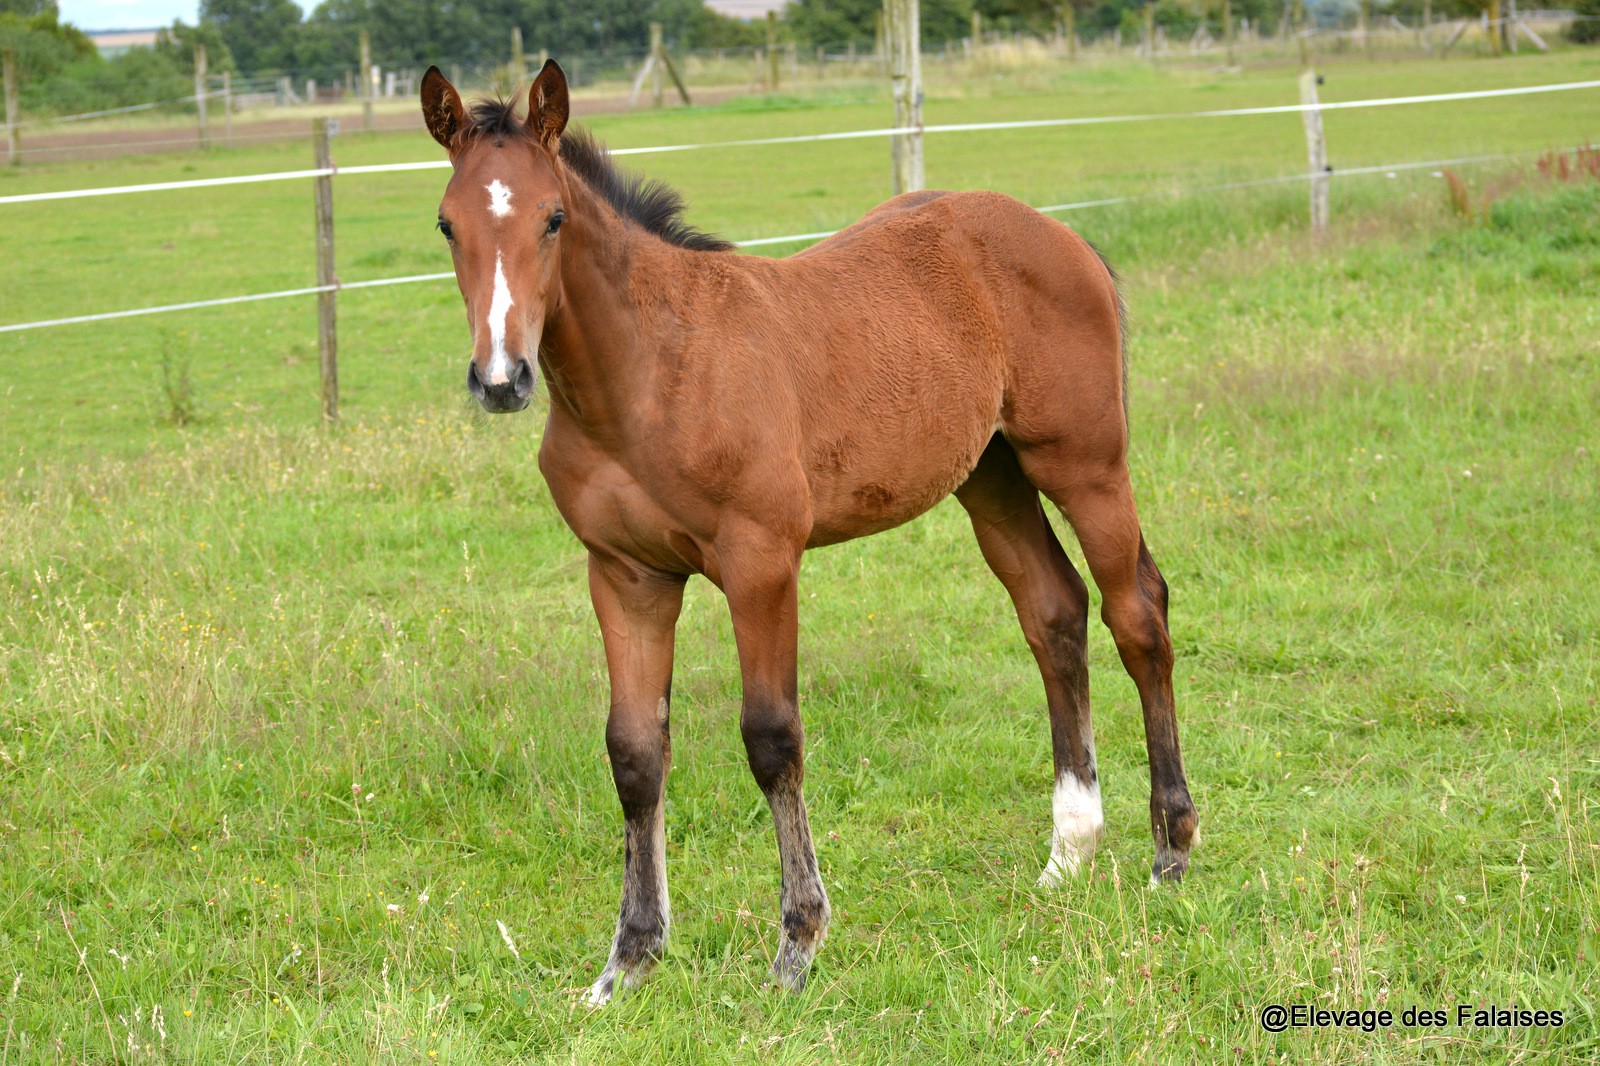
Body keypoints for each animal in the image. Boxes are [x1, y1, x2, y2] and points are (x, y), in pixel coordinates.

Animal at [419, 62, 1196, 998]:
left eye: (553, 218)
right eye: (447, 223)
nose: (501, 379)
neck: (646, 377)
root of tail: (1059, 233)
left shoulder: (761, 561)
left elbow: (771, 738)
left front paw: (797, 943)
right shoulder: (625, 576)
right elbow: (634, 752)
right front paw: (628, 960)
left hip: (1083, 462)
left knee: (1136, 613)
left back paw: (1171, 847)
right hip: (991, 475)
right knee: (1054, 612)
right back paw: (1069, 848)